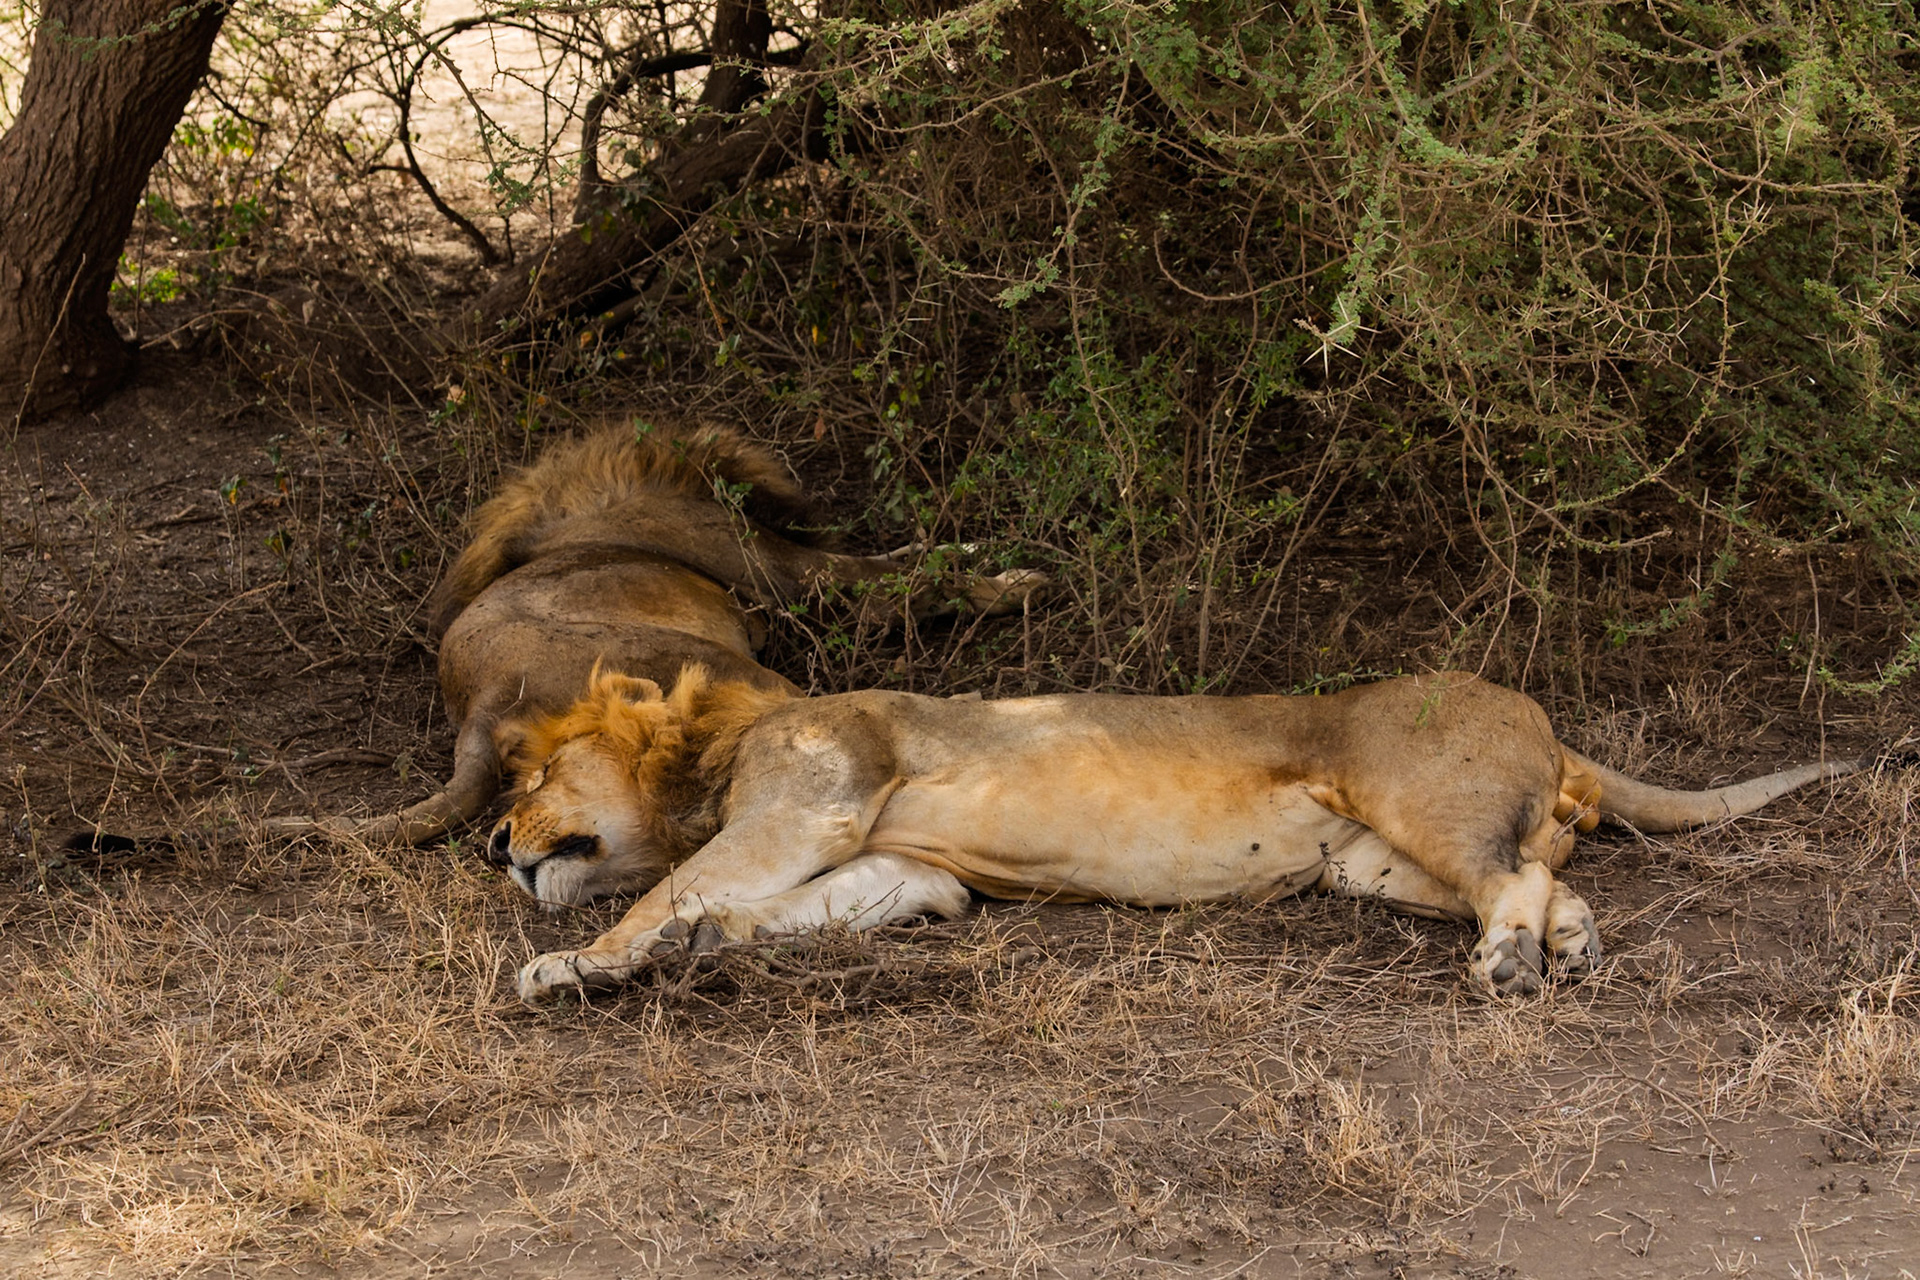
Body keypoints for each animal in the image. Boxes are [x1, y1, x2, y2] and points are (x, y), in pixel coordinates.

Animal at [363, 418, 1038, 844]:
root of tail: (480, 705)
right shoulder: (788, 572)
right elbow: (905, 584)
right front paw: (1015, 583)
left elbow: (907, 561)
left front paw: (962, 547)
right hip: (698, 656)